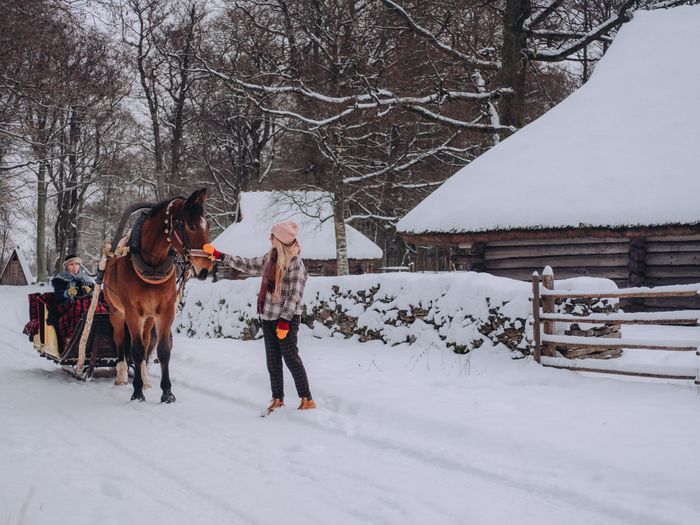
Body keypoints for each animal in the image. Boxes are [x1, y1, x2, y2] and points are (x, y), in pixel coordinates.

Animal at [100, 188, 211, 402]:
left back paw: (144, 377)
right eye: (191, 225)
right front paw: (137, 391)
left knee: (145, 343)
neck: (152, 264)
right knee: (119, 339)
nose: (205, 269)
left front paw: (166, 392)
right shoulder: (132, 312)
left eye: (207, 225)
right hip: (117, 312)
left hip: (149, 317)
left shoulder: (166, 311)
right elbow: (135, 349)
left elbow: (162, 350)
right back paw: (122, 374)